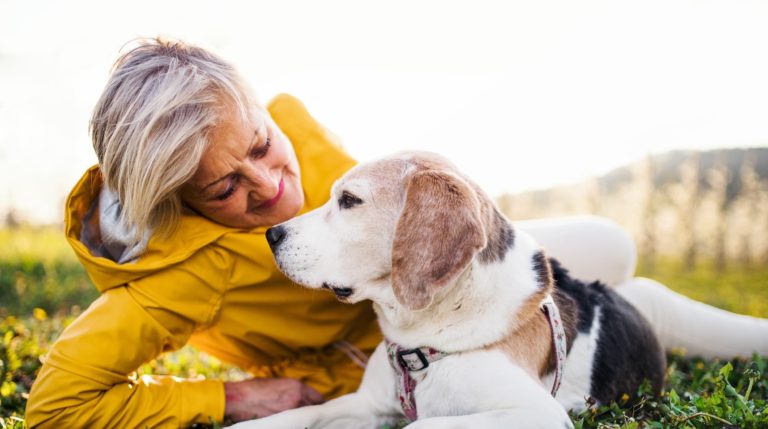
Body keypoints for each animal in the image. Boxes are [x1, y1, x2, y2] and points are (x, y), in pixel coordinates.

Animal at [226, 151, 660, 428]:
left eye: (349, 200)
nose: (271, 234)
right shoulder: (367, 404)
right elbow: (298, 414)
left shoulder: (535, 413)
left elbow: (420, 427)